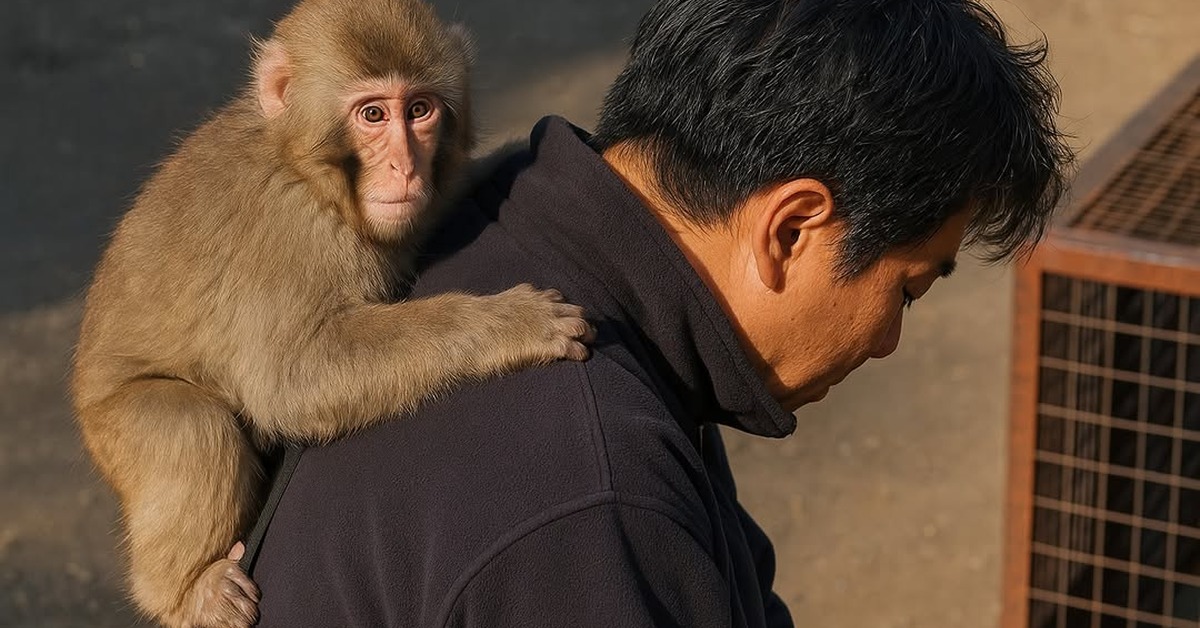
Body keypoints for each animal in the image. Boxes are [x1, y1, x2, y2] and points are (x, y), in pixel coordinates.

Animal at [68, 1, 594, 626]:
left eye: (419, 110)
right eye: (372, 114)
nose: (404, 168)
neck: (306, 171)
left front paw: (506, 158)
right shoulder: (290, 227)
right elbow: (290, 380)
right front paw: (509, 324)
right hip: (114, 429)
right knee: (192, 427)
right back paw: (187, 591)